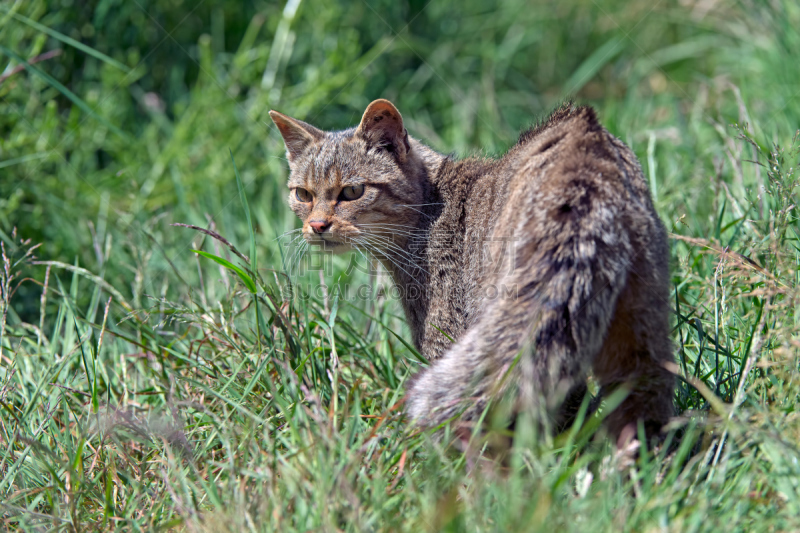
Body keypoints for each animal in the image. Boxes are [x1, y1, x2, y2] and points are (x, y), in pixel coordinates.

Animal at [270, 97, 676, 442]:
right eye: (303, 194)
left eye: (352, 192)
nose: (317, 225)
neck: (429, 205)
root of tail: (586, 148)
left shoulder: (446, 334)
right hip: (640, 331)